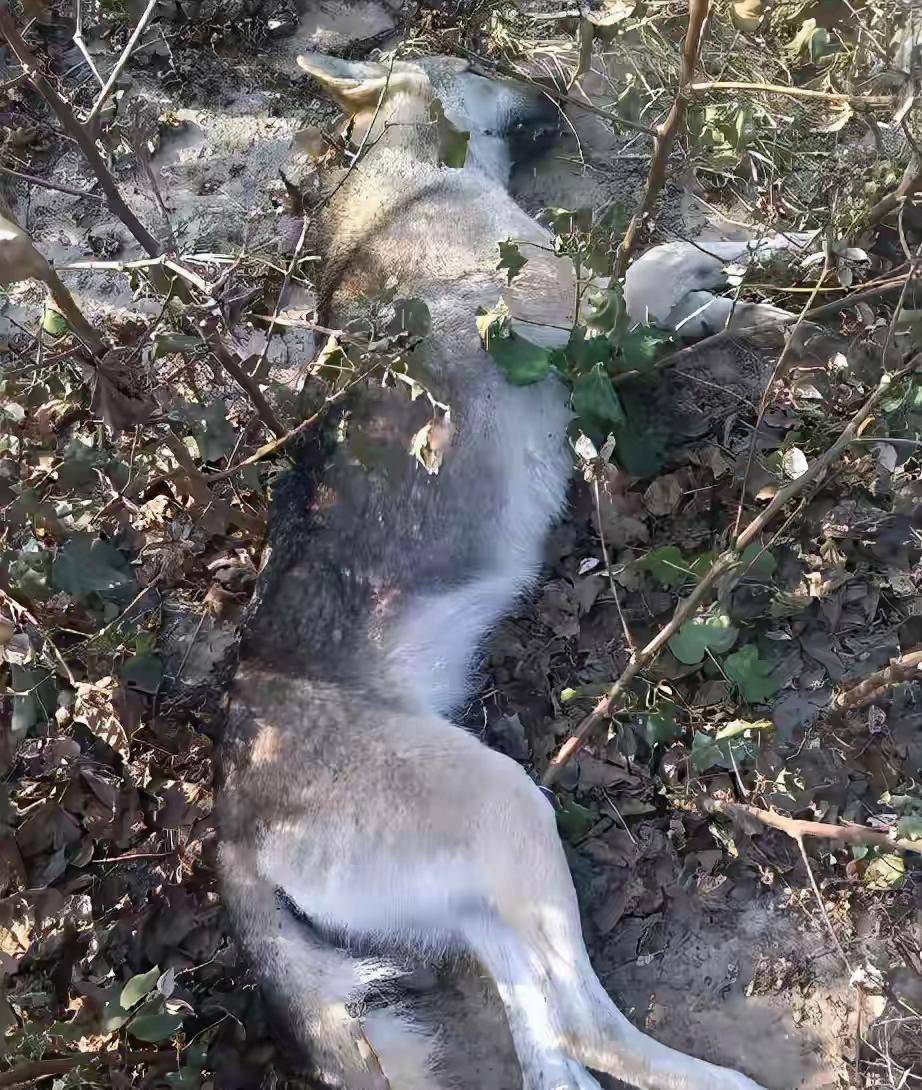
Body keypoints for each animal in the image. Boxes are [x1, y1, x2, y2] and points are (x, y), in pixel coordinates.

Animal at [216, 50, 775, 1090]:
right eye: (478, 63)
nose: (552, 87)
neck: (410, 181)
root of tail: (232, 831)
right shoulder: (592, 314)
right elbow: (676, 252)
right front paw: (771, 257)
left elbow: (719, 273)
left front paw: (786, 274)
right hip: (510, 808)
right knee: (580, 1025)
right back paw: (720, 1082)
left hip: (481, 889)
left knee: (548, 1041)